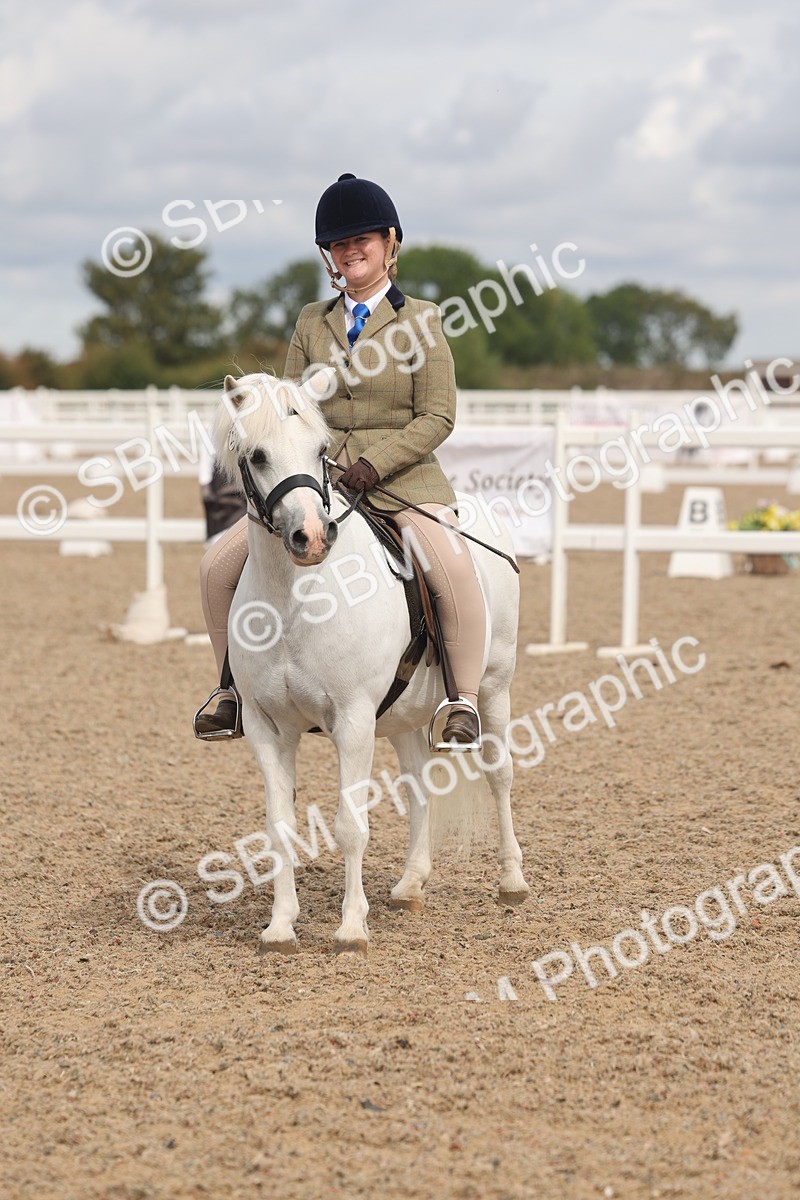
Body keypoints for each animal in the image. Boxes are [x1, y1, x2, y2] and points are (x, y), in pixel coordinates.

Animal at [213, 367, 530, 953]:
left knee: (500, 773)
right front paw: (280, 926)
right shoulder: (267, 727)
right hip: (404, 716)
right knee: (419, 785)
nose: (313, 538)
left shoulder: (354, 720)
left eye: (320, 449)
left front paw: (351, 929)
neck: (296, 595)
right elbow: (279, 828)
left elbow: (350, 826)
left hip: (496, 687)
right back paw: (410, 884)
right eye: (258, 455)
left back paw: (512, 881)